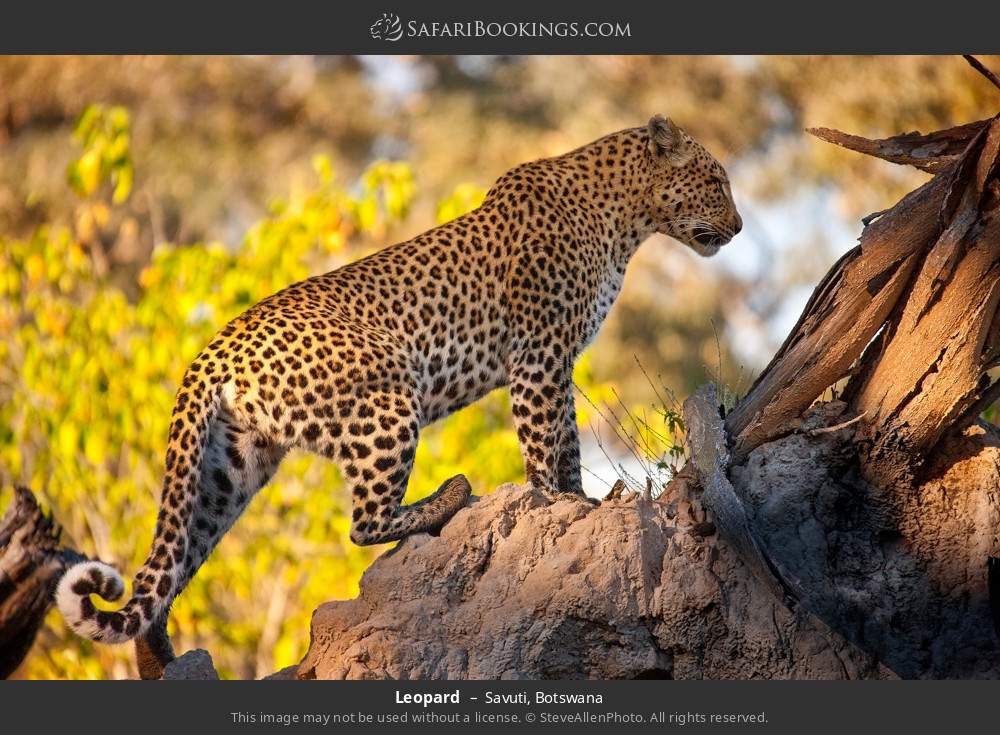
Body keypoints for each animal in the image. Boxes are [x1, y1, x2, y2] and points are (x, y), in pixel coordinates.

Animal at [56, 115, 744, 680]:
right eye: (716, 181)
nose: (739, 228)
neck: (624, 219)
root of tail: (211, 351)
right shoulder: (538, 354)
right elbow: (543, 442)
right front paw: (557, 506)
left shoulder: (556, 358)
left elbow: (568, 441)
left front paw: (584, 503)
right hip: (390, 394)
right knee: (364, 522)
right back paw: (449, 497)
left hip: (231, 467)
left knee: (172, 560)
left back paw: (162, 659)